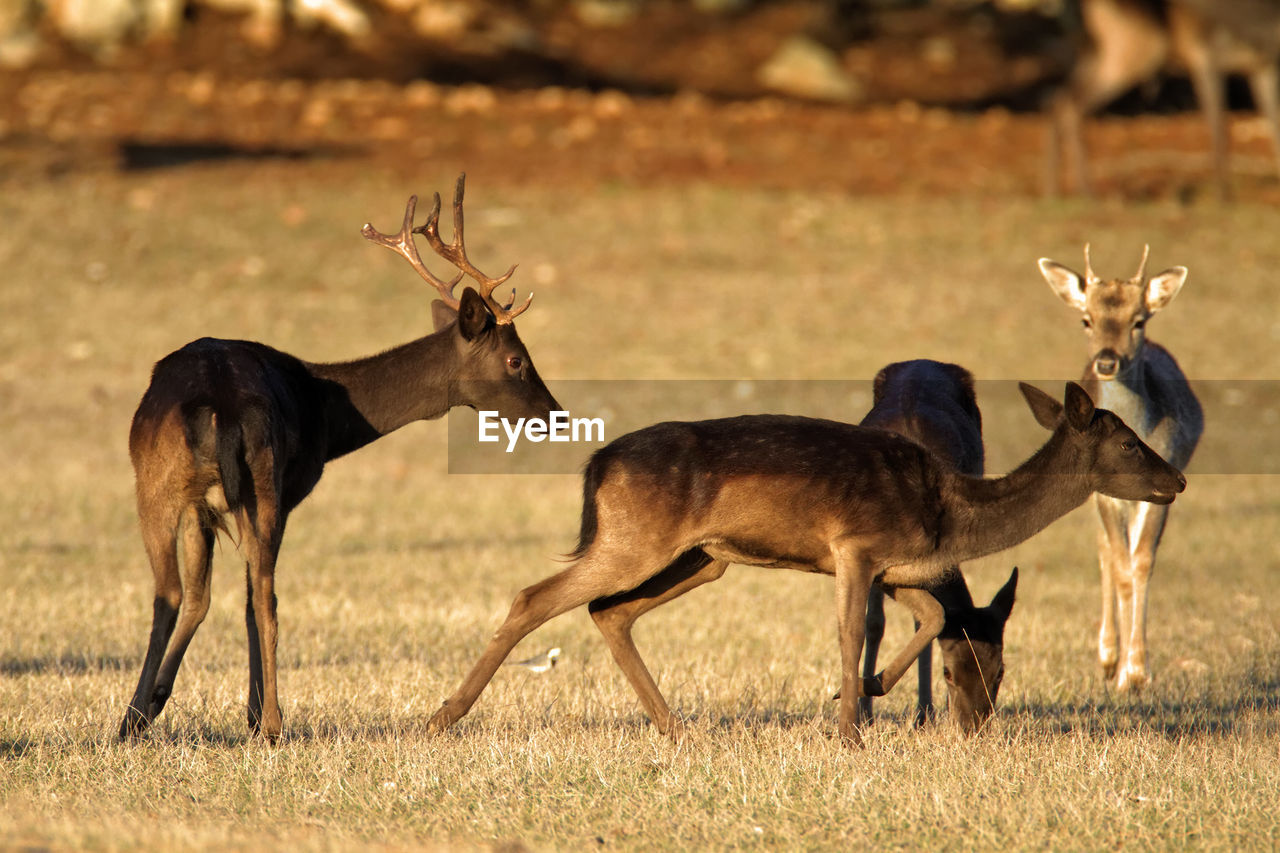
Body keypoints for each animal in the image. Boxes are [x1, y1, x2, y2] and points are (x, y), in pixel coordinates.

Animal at [120, 172, 560, 737]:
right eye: (516, 360)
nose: (558, 414)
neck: (326, 417)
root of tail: (218, 403)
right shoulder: (288, 493)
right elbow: (245, 600)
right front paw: (248, 713)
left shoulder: (204, 509)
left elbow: (203, 598)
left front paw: (154, 704)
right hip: (256, 482)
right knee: (258, 593)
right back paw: (272, 723)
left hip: (163, 481)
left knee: (173, 592)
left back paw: (131, 719)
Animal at [424, 379, 1182, 742]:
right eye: (1126, 444)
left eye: (1002, 667)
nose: (1175, 479)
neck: (947, 513)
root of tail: (596, 464)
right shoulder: (854, 545)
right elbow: (849, 630)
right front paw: (848, 730)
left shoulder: (896, 567)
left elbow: (933, 613)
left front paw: (868, 689)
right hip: (635, 538)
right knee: (536, 596)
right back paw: (441, 717)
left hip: (701, 556)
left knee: (609, 609)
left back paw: (675, 726)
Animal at [1034, 240, 1203, 691]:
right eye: (1086, 319)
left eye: (1138, 320)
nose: (1107, 362)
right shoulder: (1103, 494)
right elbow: (1120, 564)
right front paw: (1125, 669)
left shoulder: (1164, 485)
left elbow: (1141, 562)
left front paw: (1138, 671)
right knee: (1105, 551)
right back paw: (1107, 656)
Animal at [1044, 0, 1280, 195]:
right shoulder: (1203, 56)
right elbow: (1220, 132)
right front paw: (1223, 197)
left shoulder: (1263, 68)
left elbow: (1274, 128)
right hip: (1140, 48)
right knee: (1071, 105)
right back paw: (1084, 192)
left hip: (1098, 50)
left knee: (1061, 100)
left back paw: (1056, 191)